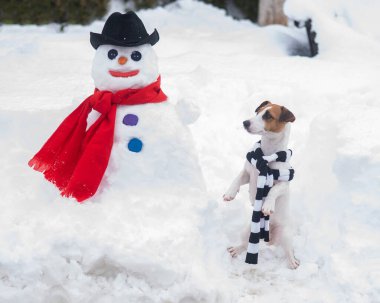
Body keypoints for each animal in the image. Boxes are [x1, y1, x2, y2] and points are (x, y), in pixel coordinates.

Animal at [223, 101, 300, 270]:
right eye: (257, 112)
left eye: (268, 116)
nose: (245, 122)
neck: (266, 155)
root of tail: (269, 238)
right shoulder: (247, 172)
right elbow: (237, 179)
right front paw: (230, 193)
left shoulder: (284, 183)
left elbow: (274, 190)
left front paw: (267, 205)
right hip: (248, 231)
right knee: (245, 244)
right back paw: (236, 249)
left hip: (286, 234)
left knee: (288, 249)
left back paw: (292, 261)